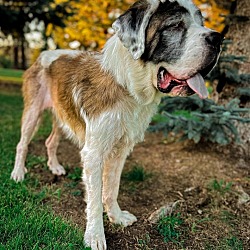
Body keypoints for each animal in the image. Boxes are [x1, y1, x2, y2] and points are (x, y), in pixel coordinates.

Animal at [11, 0, 223, 248]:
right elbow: (94, 198)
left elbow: (112, 187)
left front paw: (116, 216)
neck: (126, 83)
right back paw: (18, 173)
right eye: (175, 26)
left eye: (201, 22)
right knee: (22, 144)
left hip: (62, 116)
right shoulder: (94, 153)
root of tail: (44, 53)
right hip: (33, 113)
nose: (218, 38)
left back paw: (54, 166)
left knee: (50, 141)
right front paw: (95, 236)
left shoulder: (120, 150)